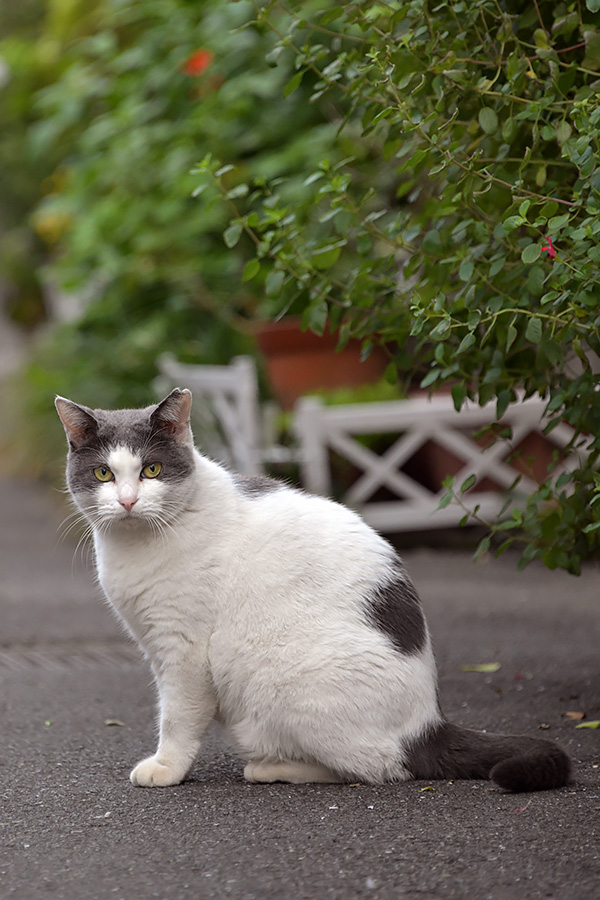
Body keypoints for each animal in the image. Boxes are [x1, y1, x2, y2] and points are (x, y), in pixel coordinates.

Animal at [56, 386, 572, 788]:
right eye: (104, 473)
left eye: (152, 471)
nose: (127, 501)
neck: (135, 546)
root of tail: (429, 723)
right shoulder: (154, 645)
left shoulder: (183, 650)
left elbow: (177, 716)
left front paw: (166, 768)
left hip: (284, 681)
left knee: (379, 767)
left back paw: (271, 768)